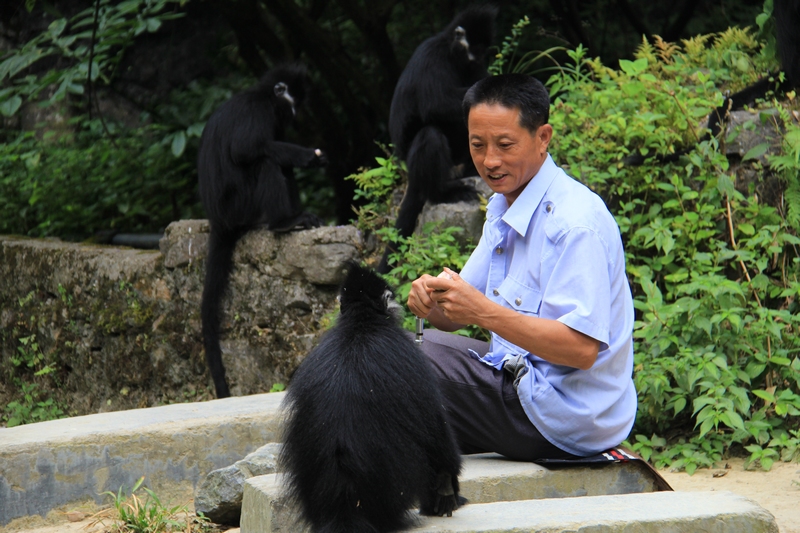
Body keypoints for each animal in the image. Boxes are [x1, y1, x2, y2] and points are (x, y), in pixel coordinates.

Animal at [198, 64, 326, 396]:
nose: (294, 115)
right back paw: (285, 221)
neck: (262, 95)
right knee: (265, 162)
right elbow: (246, 150)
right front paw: (308, 155)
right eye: (293, 103)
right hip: (242, 205)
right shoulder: (258, 111)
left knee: (277, 164)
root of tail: (219, 220)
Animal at [378, 7, 496, 274]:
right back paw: (442, 192)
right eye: (476, 48)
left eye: (484, 50)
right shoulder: (433, 56)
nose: (478, 58)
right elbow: (436, 104)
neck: (452, 54)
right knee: (430, 133)